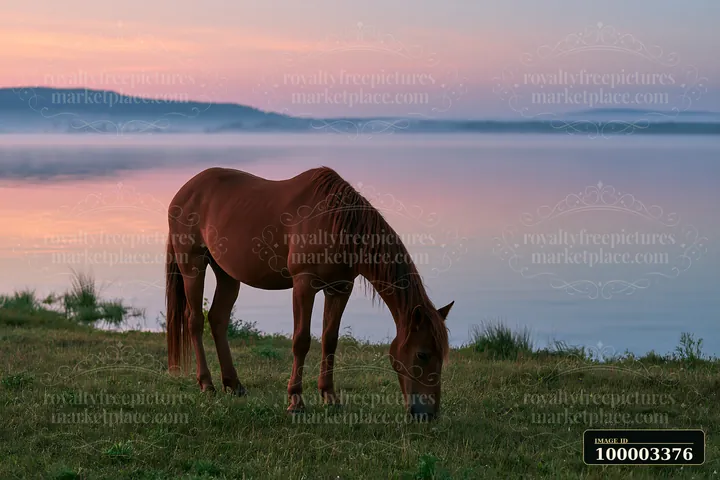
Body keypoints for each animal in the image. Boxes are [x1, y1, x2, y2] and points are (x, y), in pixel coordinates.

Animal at [165, 166, 453, 419]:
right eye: (422, 354)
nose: (428, 414)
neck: (337, 223)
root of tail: (184, 191)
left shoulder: (340, 288)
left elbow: (330, 339)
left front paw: (330, 397)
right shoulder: (304, 284)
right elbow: (301, 341)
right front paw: (296, 401)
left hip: (227, 274)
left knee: (218, 319)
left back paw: (233, 384)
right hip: (193, 265)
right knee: (195, 321)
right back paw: (207, 384)